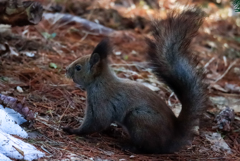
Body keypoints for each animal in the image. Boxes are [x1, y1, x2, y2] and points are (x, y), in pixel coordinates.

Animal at [62, 6, 207, 153]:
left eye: (78, 67)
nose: (66, 70)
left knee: (147, 147)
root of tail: (172, 138)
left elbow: (97, 121)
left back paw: (128, 146)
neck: (99, 82)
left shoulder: (101, 101)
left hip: (138, 118)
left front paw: (73, 130)